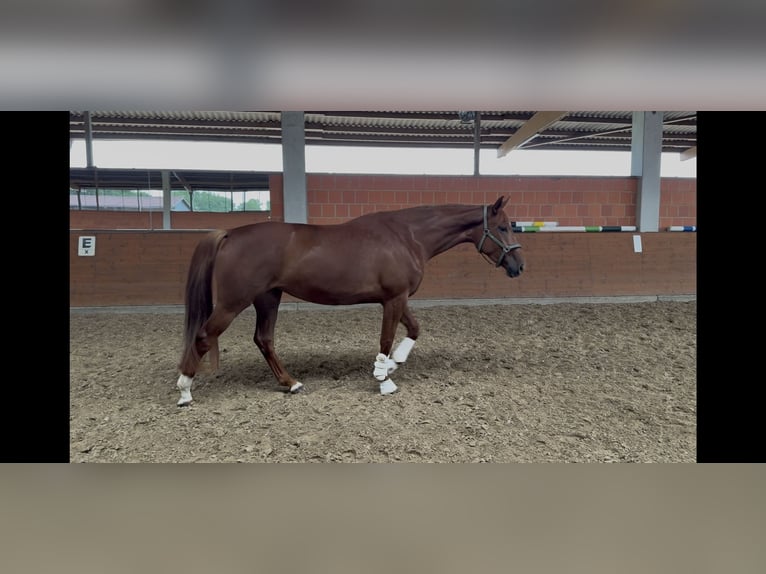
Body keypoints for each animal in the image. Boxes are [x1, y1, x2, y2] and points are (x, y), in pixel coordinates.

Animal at [175, 195, 525, 405]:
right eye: (503, 227)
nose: (518, 266)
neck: (407, 236)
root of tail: (230, 234)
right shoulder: (393, 299)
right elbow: (386, 338)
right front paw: (384, 380)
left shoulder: (397, 298)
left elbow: (414, 329)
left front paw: (394, 363)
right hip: (234, 302)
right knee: (204, 336)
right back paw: (185, 390)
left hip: (268, 298)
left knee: (264, 339)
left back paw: (291, 383)